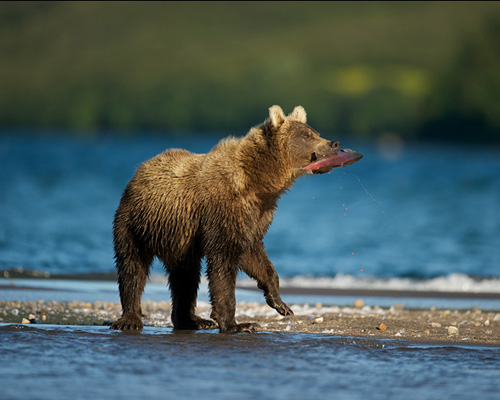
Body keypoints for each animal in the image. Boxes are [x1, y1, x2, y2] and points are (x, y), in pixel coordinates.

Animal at [111, 104, 342, 332]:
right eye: (307, 135)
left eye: (315, 132)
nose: (335, 143)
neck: (258, 182)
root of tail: (139, 171)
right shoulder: (224, 207)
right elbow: (223, 263)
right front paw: (238, 324)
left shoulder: (255, 216)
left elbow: (255, 256)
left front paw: (281, 304)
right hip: (137, 223)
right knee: (133, 267)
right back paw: (131, 319)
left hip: (180, 239)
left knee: (185, 276)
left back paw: (192, 320)